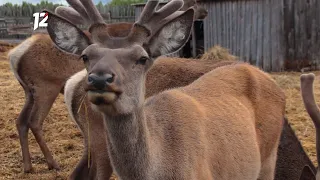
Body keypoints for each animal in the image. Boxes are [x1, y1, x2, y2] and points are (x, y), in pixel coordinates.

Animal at [6, 0, 208, 173]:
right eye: (194, 1)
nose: (205, 13)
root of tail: (14, 54)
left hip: (29, 91)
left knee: (21, 120)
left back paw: (28, 166)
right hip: (46, 87)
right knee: (34, 121)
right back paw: (52, 163)